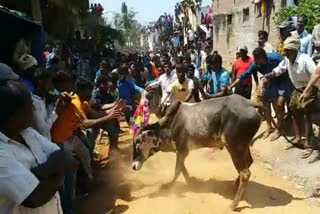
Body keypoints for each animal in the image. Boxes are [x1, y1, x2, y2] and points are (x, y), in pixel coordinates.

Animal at [132, 94, 262, 210]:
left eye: (138, 141)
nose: (133, 166)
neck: (169, 125)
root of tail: (249, 103)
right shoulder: (180, 151)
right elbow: (182, 168)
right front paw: (190, 181)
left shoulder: (182, 150)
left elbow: (177, 170)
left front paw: (169, 185)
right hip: (243, 147)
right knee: (249, 162)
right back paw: (235, 184)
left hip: (234, 147)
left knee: (245, 173)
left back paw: (233, 205)